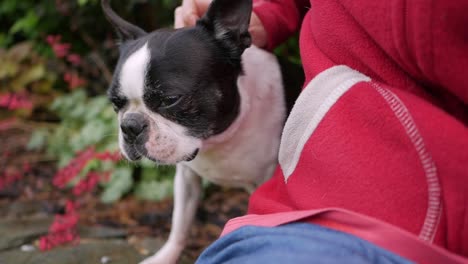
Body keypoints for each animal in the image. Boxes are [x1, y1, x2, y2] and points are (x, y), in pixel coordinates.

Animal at [103, 0, 300, 262]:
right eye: (115, 103)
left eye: (170, 100)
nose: (129, 125)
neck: (218, 139)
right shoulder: (186, 178)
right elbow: (180, 222)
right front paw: (166, 256)